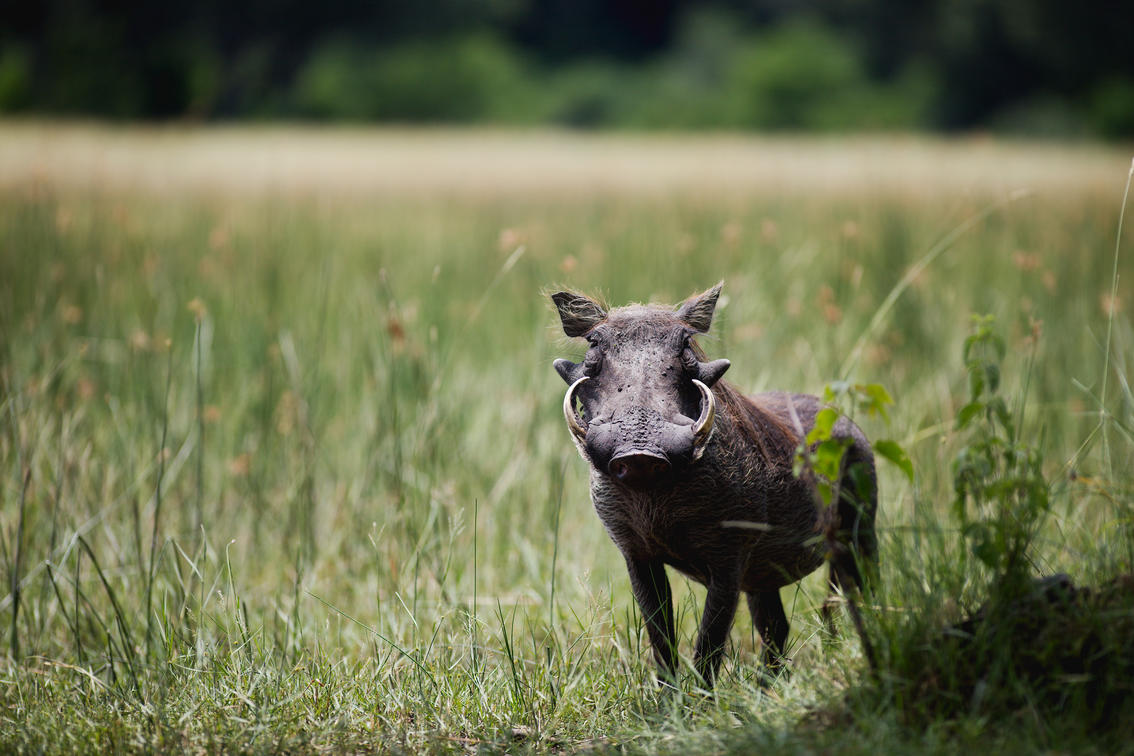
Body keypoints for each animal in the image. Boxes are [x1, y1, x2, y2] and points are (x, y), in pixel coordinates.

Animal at [551, 282, 877, 688]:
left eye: (686, 344)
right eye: (594, 343)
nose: (641, 452)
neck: (655, 496)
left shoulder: (729, 559)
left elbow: (710, 639)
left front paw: (701, 702)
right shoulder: (637, 554)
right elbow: (660, 635)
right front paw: (669, 701)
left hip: (859, 531)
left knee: (864, 593)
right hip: (764, 575)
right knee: (776, 627)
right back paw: (766, 689)